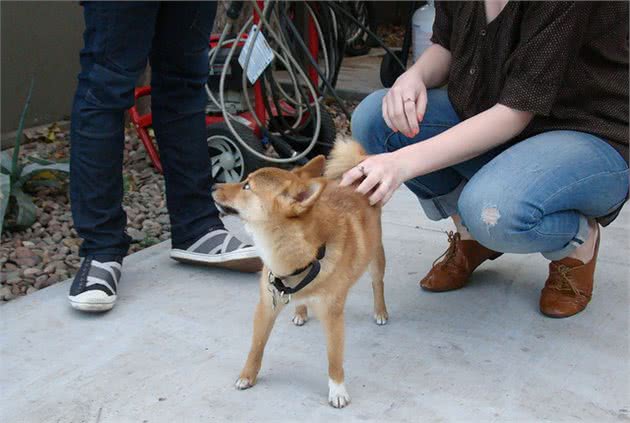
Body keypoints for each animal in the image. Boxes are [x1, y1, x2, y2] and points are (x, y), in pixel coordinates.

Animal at [214, 141, 390, 410]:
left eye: (247, 186)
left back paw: (380, 311)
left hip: (375, 258)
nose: (213, 186)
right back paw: (300, 311)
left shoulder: (332, 317)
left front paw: (337, 389)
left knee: (377, 283)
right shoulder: (266, 305)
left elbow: (334, 358)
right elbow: (256, 346)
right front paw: (247, 375)